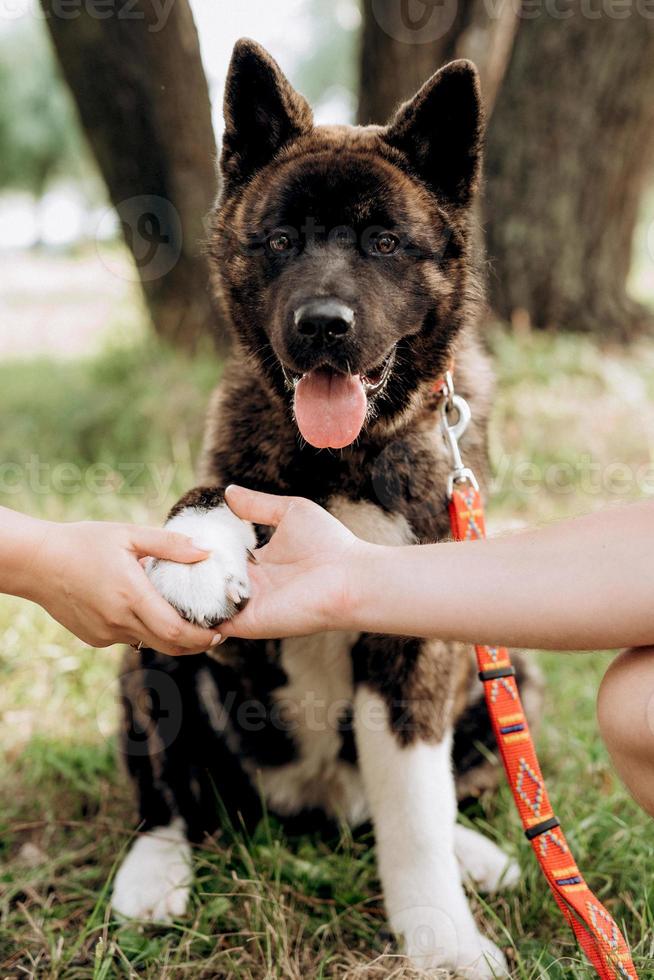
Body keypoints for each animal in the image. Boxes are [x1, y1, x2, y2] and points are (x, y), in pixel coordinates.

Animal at [111, 40, 544, 980]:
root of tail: (316, 798)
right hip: (146, 660)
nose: (322, 325)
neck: (348, 454)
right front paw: (200, 554)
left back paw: (473, 855)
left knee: (423, 799)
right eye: (280, 242)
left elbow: (415, 812)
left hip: (512, 669)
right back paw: (154, 870)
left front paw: (441, 936)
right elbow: (210, 493)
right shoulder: (229, 473)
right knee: (168, 794)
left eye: (384, 242)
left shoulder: (416, 646)